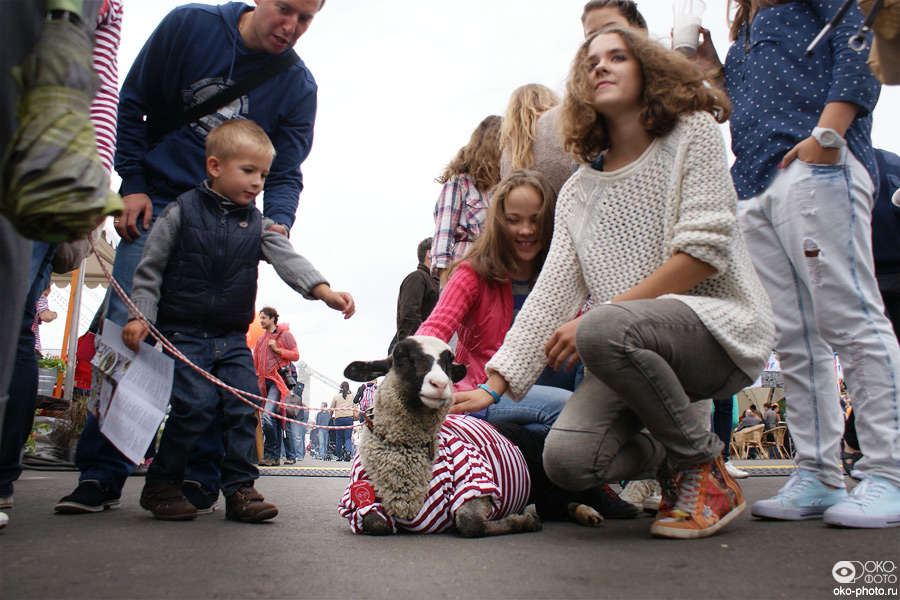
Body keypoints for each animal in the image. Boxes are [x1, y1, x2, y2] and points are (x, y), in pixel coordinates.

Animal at [338, 336, 604, 536]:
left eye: (448, 360)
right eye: (400, 355)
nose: (440, 384)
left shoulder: (476, 481)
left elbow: (470, 523)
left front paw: (524, 522)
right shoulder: (359, 502)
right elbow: (376, 523)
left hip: (548, 486)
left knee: (561, 504)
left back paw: (589, 513)